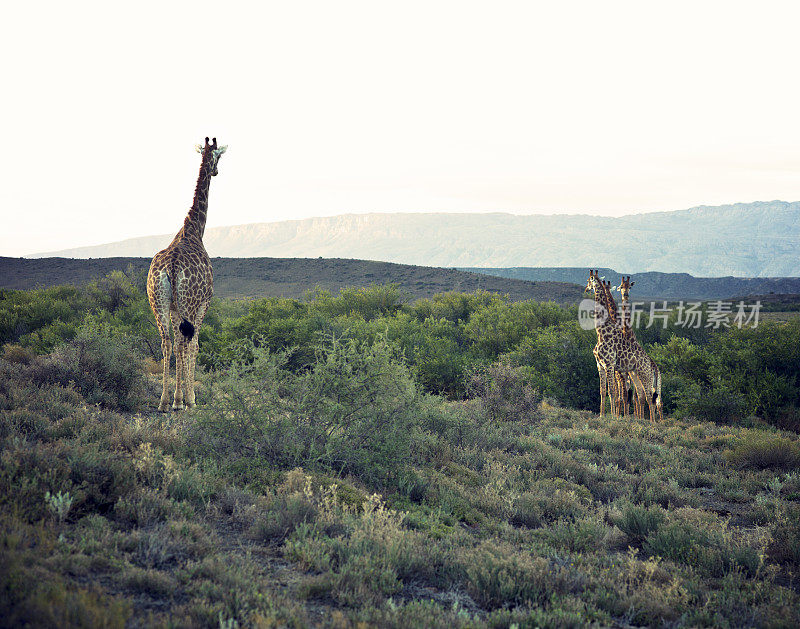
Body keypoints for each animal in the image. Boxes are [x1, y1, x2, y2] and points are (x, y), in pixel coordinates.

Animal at [146, 138, 227, 412]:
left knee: (166, 341)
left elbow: (179, 345)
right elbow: (195, 345)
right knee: (184, 342)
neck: (194, 229)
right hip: (189, 303)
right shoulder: (205, 303)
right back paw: (181, 401)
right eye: (218, 156)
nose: (216, 171)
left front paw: (177, 396)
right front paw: (190, 398)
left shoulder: (173, 307)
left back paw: (163, 402)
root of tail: (171, 265)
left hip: (158, 301)